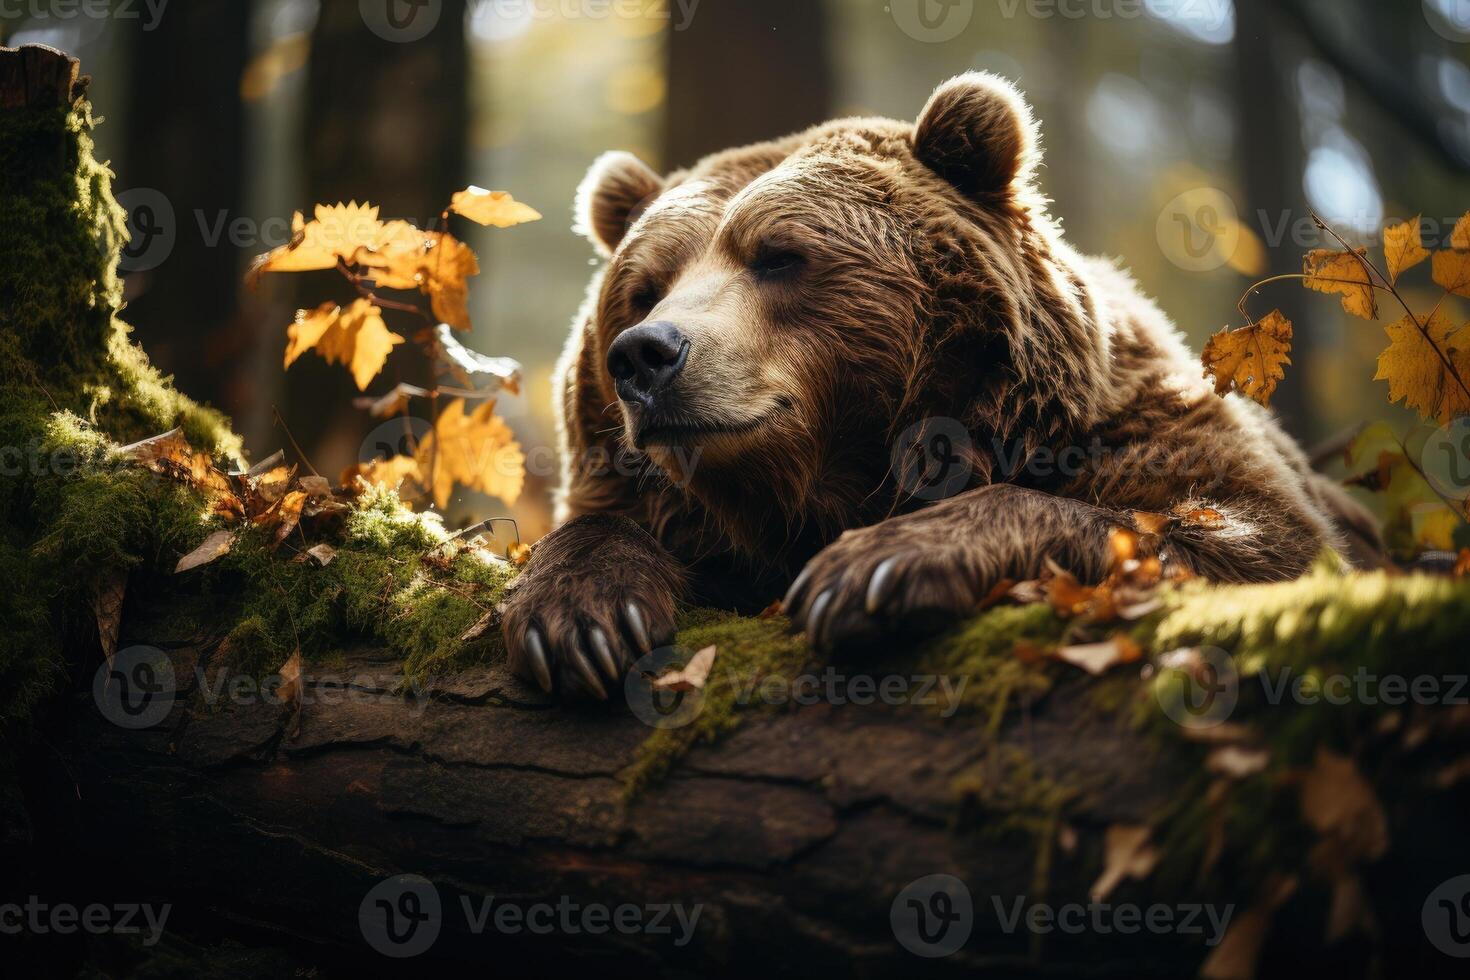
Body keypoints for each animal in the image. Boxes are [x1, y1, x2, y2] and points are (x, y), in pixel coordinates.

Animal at [496, 72, 1375, 702]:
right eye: (643, 288)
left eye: (779, 255)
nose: (646, 357)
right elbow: (604, 526)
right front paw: (578, 618)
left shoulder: (1142, 426)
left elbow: (1251, 537)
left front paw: (875, 568)